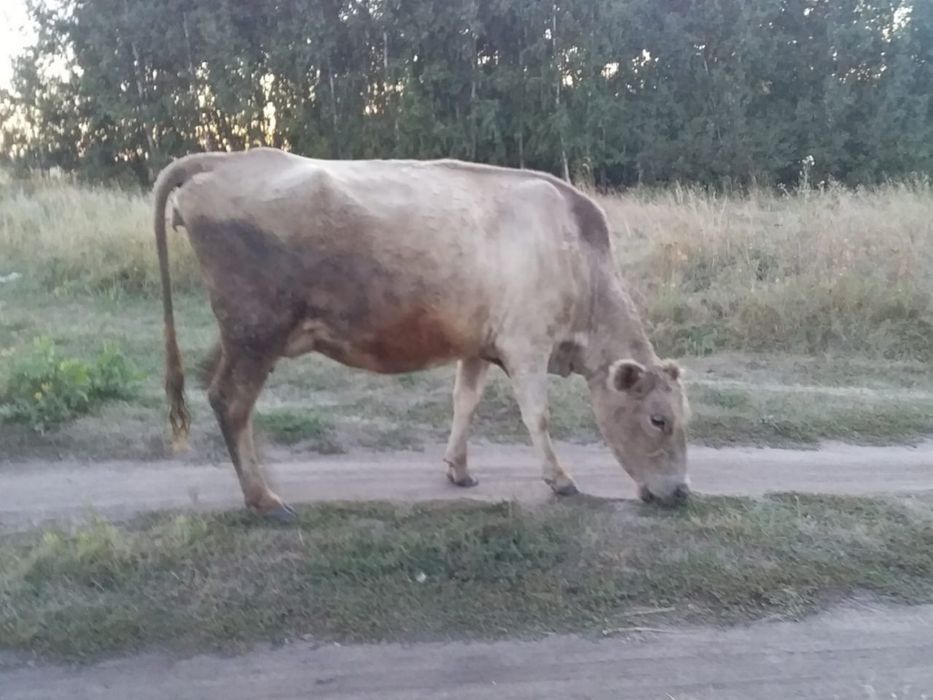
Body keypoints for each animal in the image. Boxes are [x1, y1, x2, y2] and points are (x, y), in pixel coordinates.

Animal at [153, 148, 690, 522]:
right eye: (658, 419)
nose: (682, 493)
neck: (578, 256)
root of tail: (225, 158)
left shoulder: (480, 344)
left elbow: (464, 403)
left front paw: (459, 469)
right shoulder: (527, 344)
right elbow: (537, 415)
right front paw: (559, 480)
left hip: (242, 335)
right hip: (256, 332)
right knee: (231, 401)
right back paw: (262, 498)